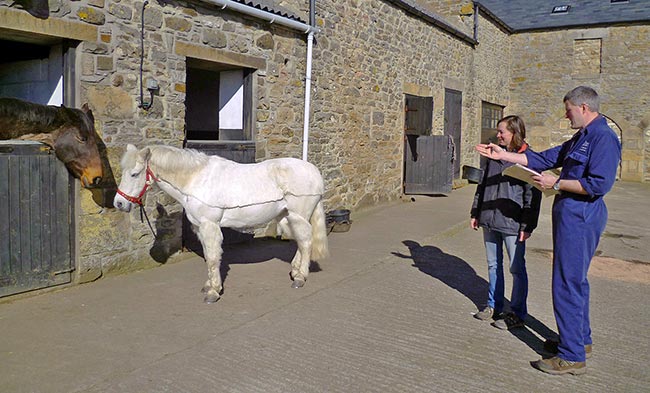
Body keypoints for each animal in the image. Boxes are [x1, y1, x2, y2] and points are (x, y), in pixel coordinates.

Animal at [112, 145, 330, 302]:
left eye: (134, 174)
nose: (119, 203)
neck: (196, 180)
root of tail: (313, 171)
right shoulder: (200, 228)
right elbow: (209, 257)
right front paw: (209, 286)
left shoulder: (210, 226)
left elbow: (213, 258)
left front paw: (213, 292)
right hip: (288, 217)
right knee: (301, 242)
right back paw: (295, 271)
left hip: (298, 215)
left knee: (306, 242)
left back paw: (300, 277)